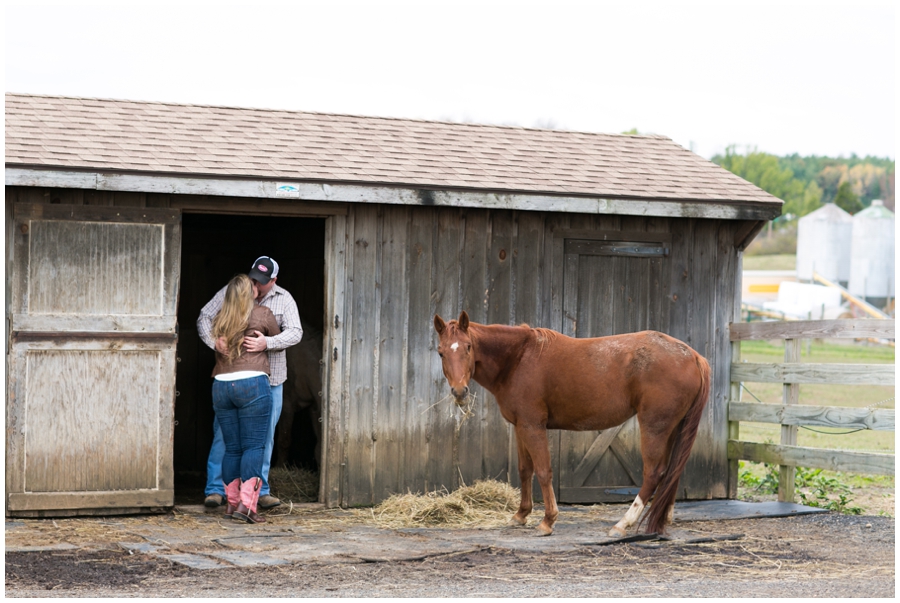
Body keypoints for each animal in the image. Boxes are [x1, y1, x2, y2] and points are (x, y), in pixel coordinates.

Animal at [434, 312, 712, 536]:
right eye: (441, 351)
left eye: (468, 347)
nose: (459, 391)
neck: (519, 358)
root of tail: (693, 356)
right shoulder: (520, 427)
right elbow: (525, 470)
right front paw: (521, 515)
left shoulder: (533, 426)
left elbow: (543, 471)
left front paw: (548, 521)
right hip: (672, 428)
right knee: (672, 472)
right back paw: (662, 518)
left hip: (654, 427)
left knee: (654, 473)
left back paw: (623, 524)